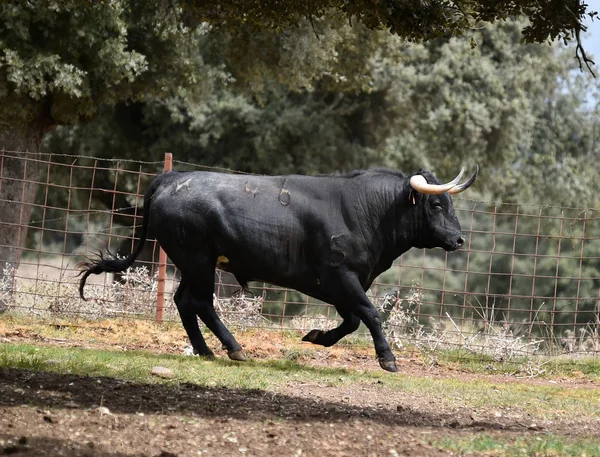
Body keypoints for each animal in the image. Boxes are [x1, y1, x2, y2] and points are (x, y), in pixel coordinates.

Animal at [79, 166, 476, 372]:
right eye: (436, 205)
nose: (458, 239)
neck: (367, 210)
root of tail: (173, 178)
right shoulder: (339, 276)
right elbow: (370, 314)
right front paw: (387, 358)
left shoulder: (342, 283)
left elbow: (351, 320)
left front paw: (317, 336)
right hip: (198, 262)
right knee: (200, 303)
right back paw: (234, 348)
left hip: (194, 265)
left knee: (184, 303)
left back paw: (206, 350)